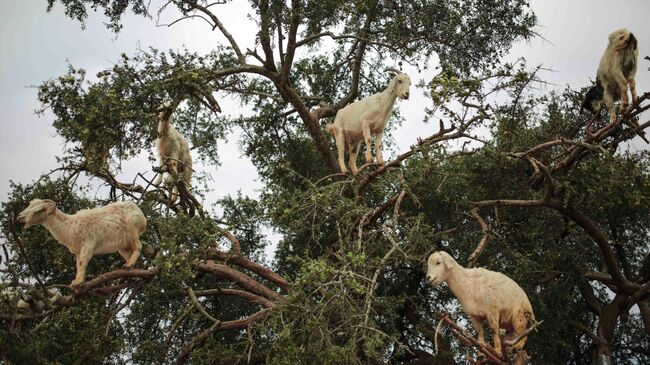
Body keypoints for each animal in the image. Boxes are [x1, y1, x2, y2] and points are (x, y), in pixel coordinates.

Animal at [17, 199, 146, 288]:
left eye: (38, 210)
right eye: (29, 205)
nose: (19, 217)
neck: (69, 226)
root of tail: (142, 217)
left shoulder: (87, 245)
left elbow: (83, 263)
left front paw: (77, 283)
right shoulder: (78, 251)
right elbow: (78, 265)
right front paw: (75, 282)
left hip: (132, 231)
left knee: (139, 247)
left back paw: (129, 266)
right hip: (123, 246)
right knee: (130, 254)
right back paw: (130, 272)